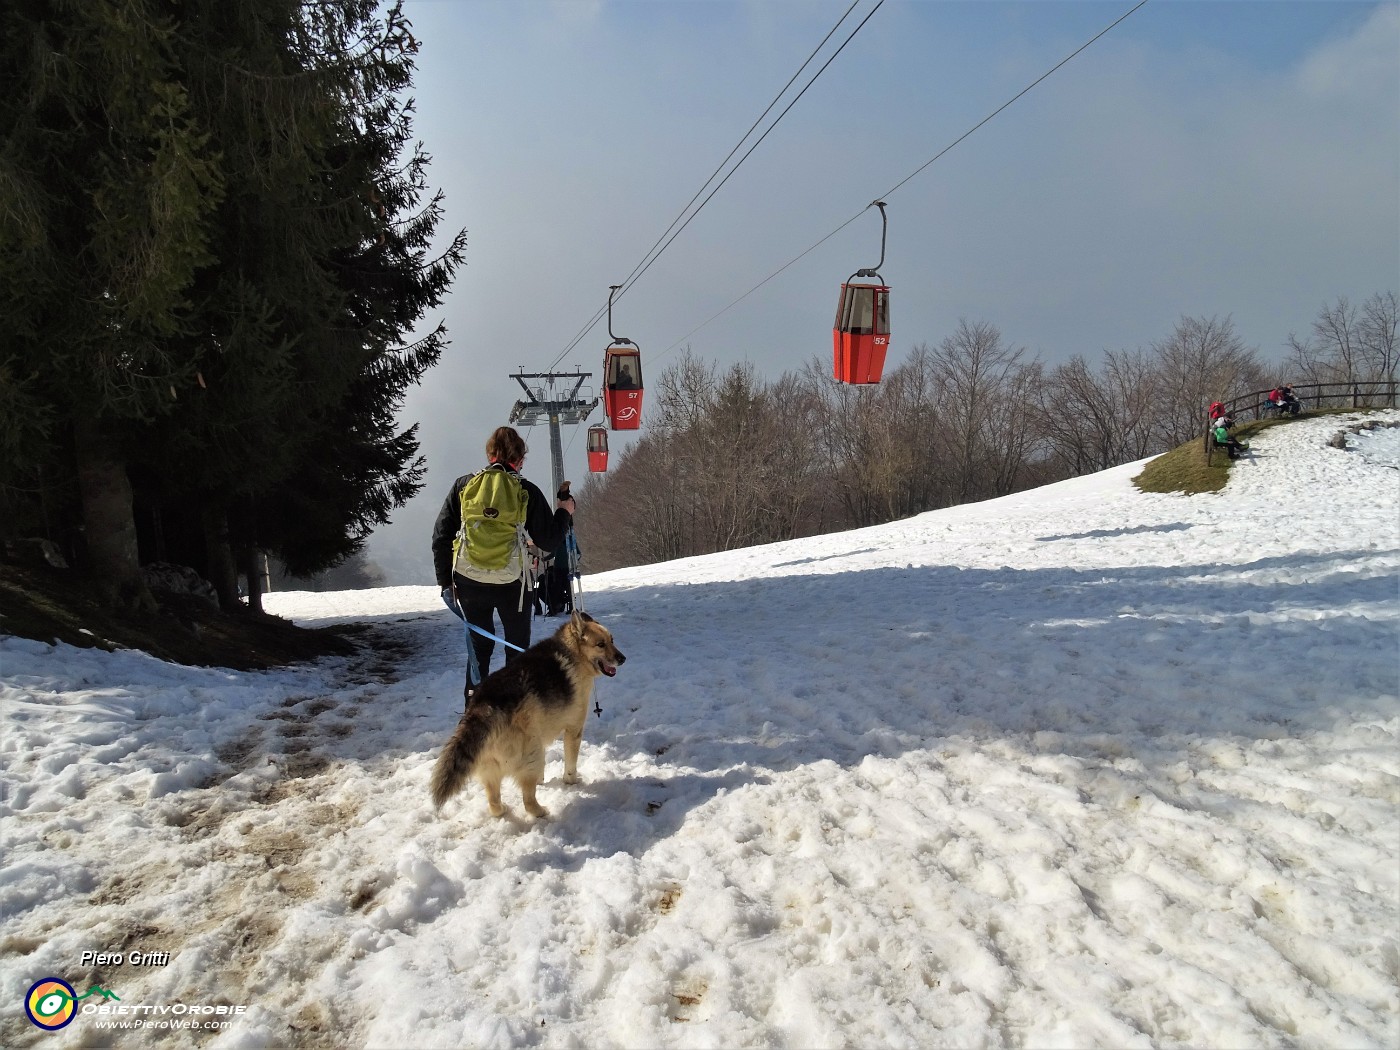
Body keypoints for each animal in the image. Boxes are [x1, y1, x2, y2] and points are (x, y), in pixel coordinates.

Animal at [425, 607, 624, 823]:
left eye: (612, 640)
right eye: (601, 644)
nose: (622, 659)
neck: (572, 653)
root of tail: (484, 705)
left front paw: (543, 781)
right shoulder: (573, 730)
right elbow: (571, 764)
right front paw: (571, 781)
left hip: (493, 768)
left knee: (494, 803)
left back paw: (503, 810)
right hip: (532, 758)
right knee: (528, 801)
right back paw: (541, 812)